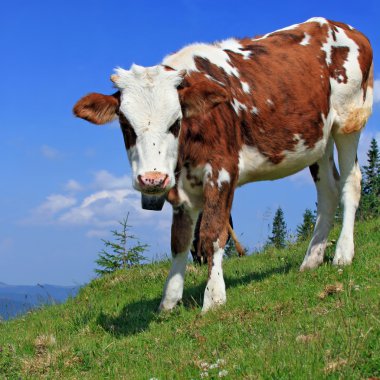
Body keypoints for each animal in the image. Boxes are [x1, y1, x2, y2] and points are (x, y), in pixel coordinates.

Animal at [74, 17, 374, 312]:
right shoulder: (180, 187)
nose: (152, 179)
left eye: (176, 122)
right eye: (125, 125)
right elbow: (179, 240)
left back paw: (343, 253)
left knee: (351, 183)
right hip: (318, 140)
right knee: (328, 192)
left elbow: (212, 233)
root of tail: (342, 26)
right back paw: (311, 259)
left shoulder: (223, 171)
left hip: (349, 119)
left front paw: (214, 297)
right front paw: (169, 300)